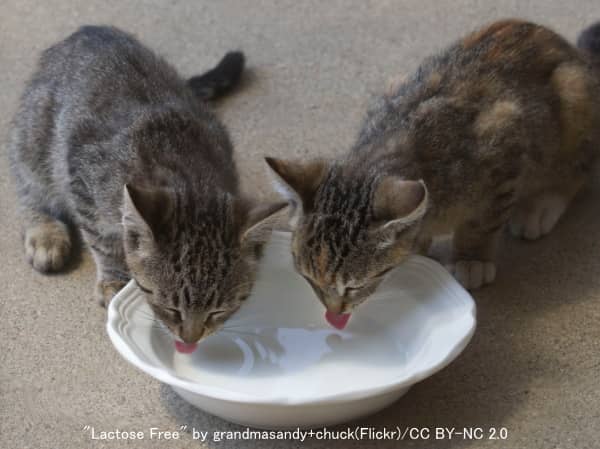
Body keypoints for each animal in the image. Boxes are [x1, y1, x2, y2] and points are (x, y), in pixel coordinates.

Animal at [7, 24, 284, 348]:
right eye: (171, 308)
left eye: (218, 310)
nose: (190, 339)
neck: (188, 174)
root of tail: (86, 31)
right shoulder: (82, 175)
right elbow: (102, 240)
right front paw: (114, 278)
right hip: (33, 145)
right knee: (30, 192)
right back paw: (45, 234)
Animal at [264, 20, 600, 326]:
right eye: (309, 279)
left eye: (354, 286)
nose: (333, 312)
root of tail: (575, 53)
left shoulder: (505, 138)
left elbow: (481, 221)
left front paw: (471, 257)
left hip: (573, 97)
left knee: (579, 167)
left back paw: (542, 204)